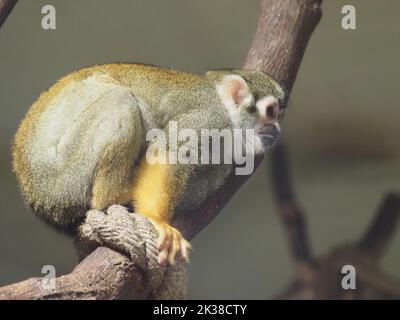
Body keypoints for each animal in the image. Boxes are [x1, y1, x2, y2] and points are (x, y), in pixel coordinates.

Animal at [11, 63, 284, 266]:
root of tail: (35, 198)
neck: (229, 117)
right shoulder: (210, 119)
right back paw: (113, 195)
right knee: (120, 100)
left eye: (279, 114)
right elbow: (167, 150)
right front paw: (156, 219)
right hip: (61, 172)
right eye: (270, 112)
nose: (277, 128)